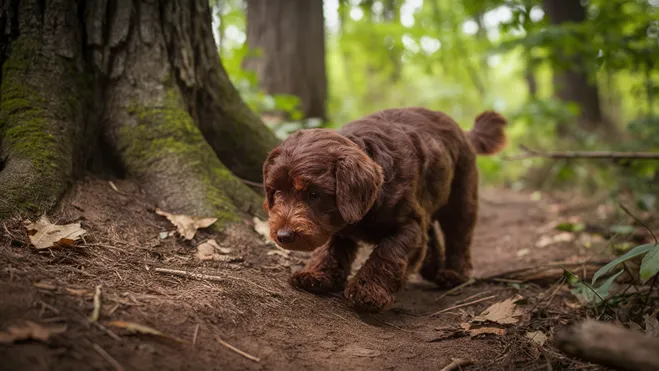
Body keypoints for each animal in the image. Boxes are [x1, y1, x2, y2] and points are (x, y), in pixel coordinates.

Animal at [262, 107, 506, 314]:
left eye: (314, 194)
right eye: (276, 192)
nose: (283, 235)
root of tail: (464, 133)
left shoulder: (407, 226)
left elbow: (387, 255)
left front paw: (367, 290)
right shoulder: (336, 225)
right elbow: (330, 249)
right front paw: (316, 274)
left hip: (460, 196)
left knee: (459, 234)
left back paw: (454, 274)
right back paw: (432, 267)